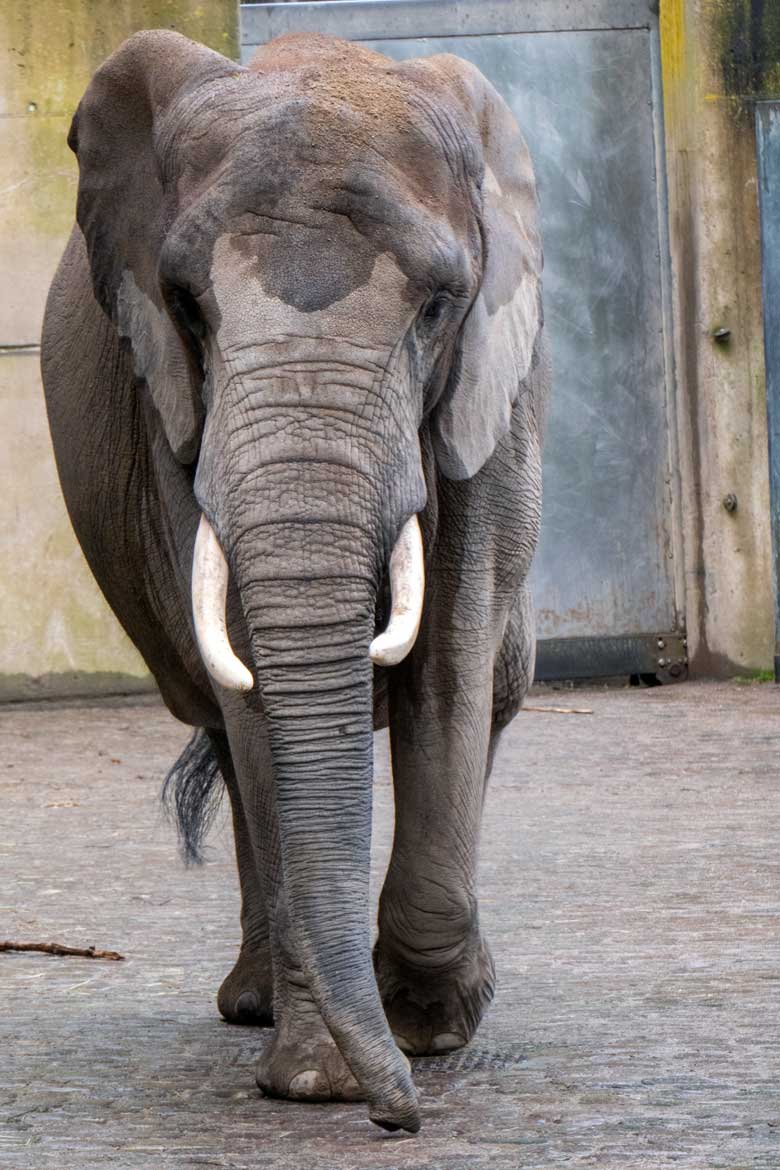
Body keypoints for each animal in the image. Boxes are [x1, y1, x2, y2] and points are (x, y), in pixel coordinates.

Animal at [38, 32, 549, 1132]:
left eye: (439, 306)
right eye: (187, 307)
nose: (402, 1118)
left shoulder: (495, 386)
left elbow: (454, 649)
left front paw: (426, 1024)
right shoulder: (174, 408)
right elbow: (254, 687)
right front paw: (327, 1081)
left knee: (494, 682)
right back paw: (255, 1001)